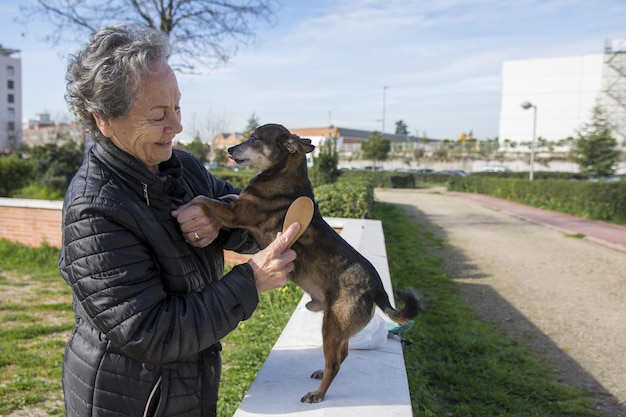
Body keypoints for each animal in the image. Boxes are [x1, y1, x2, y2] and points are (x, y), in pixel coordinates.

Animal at [190, 123, 414, 404]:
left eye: (253, 138)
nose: (229, 149)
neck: (282, 174)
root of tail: (377, 289)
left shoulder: (235, 214)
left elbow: (203, 200)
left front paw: (186, 206)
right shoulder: (235, 208)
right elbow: (228, 195)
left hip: (332, 326)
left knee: (335, 363)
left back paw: (318, 394)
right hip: (339, 329)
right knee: (343, 355)